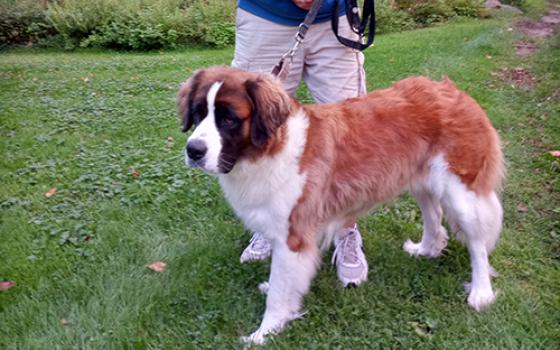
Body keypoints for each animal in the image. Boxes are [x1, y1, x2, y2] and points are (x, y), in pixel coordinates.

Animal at [177, 66, 506, 344]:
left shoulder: (292, 236)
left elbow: (279, 292)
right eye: (199, 113)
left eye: (229, 119)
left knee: (477, 244)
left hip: (462, 194)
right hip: (422, 182)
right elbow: (283, 282)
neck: (270, 148)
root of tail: (455, 92)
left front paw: (264, 333)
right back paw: (426, 249)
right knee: (434, 216)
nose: (193, 150)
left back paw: (480, 292)